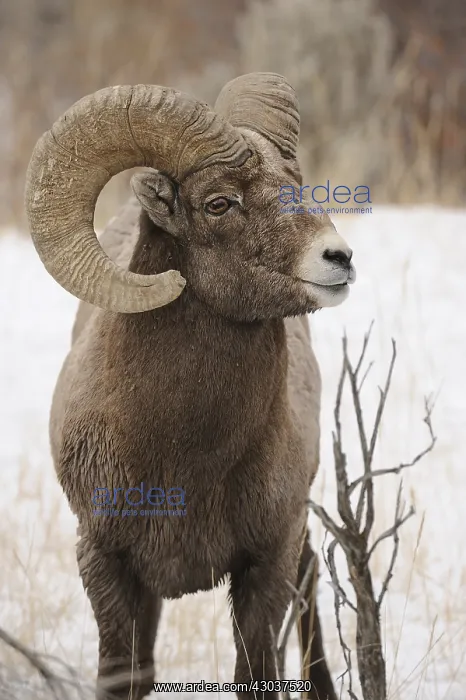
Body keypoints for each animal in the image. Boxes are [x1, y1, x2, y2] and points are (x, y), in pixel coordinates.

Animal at [24, 73, 356, 700]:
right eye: (219, 203)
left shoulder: (265, 565)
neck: (183, 456)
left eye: (297, 187)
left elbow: (256, 670)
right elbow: (124, 674)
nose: (339, 258)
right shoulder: (107, 565)